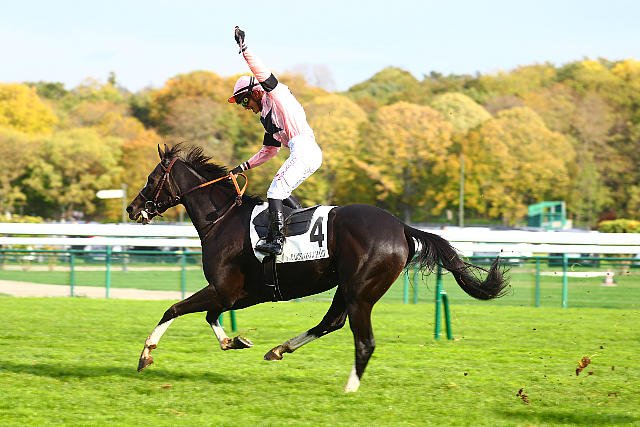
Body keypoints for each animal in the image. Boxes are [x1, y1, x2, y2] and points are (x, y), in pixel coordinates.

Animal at [126, 143, 509, 392]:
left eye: (151, 178)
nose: (132, 208)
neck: (222, 220)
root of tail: (401, 227)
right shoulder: (239, 294)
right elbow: (209, 317)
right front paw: (236, 341)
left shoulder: (225, 289)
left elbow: (173, 308)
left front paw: (146, 355)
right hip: (348, 287)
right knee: (331, 322)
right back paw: (279, 349)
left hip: (360, 293)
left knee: (364, 341)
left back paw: (349, 389)